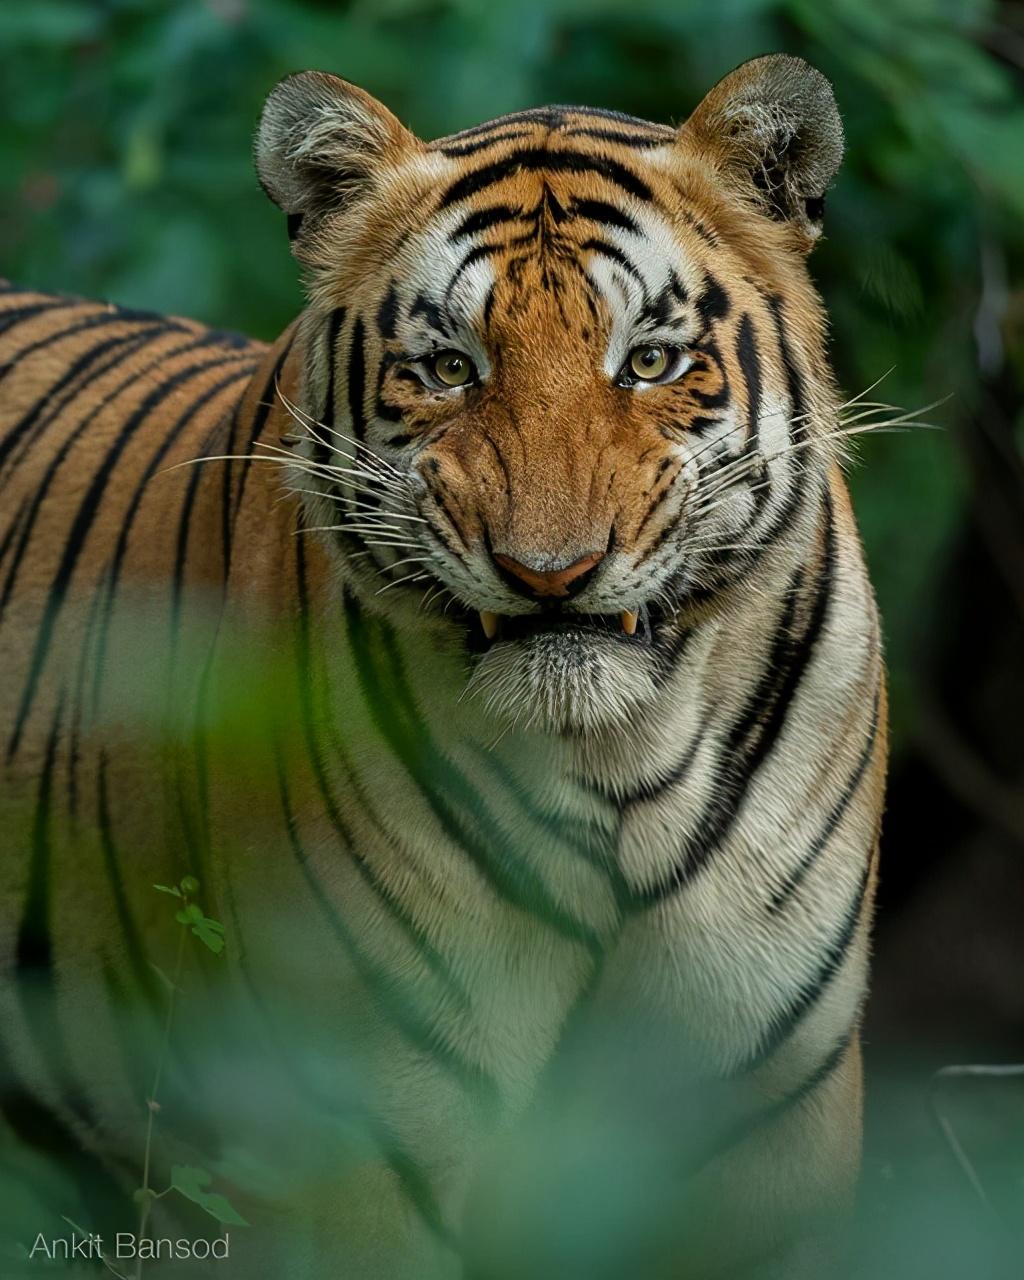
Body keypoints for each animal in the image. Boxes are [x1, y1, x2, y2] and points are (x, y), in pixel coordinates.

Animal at [0, 52, 885, 1280]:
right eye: (449, 368)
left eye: (650, 361)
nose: (551, 573)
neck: (623, 761)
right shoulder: (363, 1137)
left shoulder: (769, 1138)